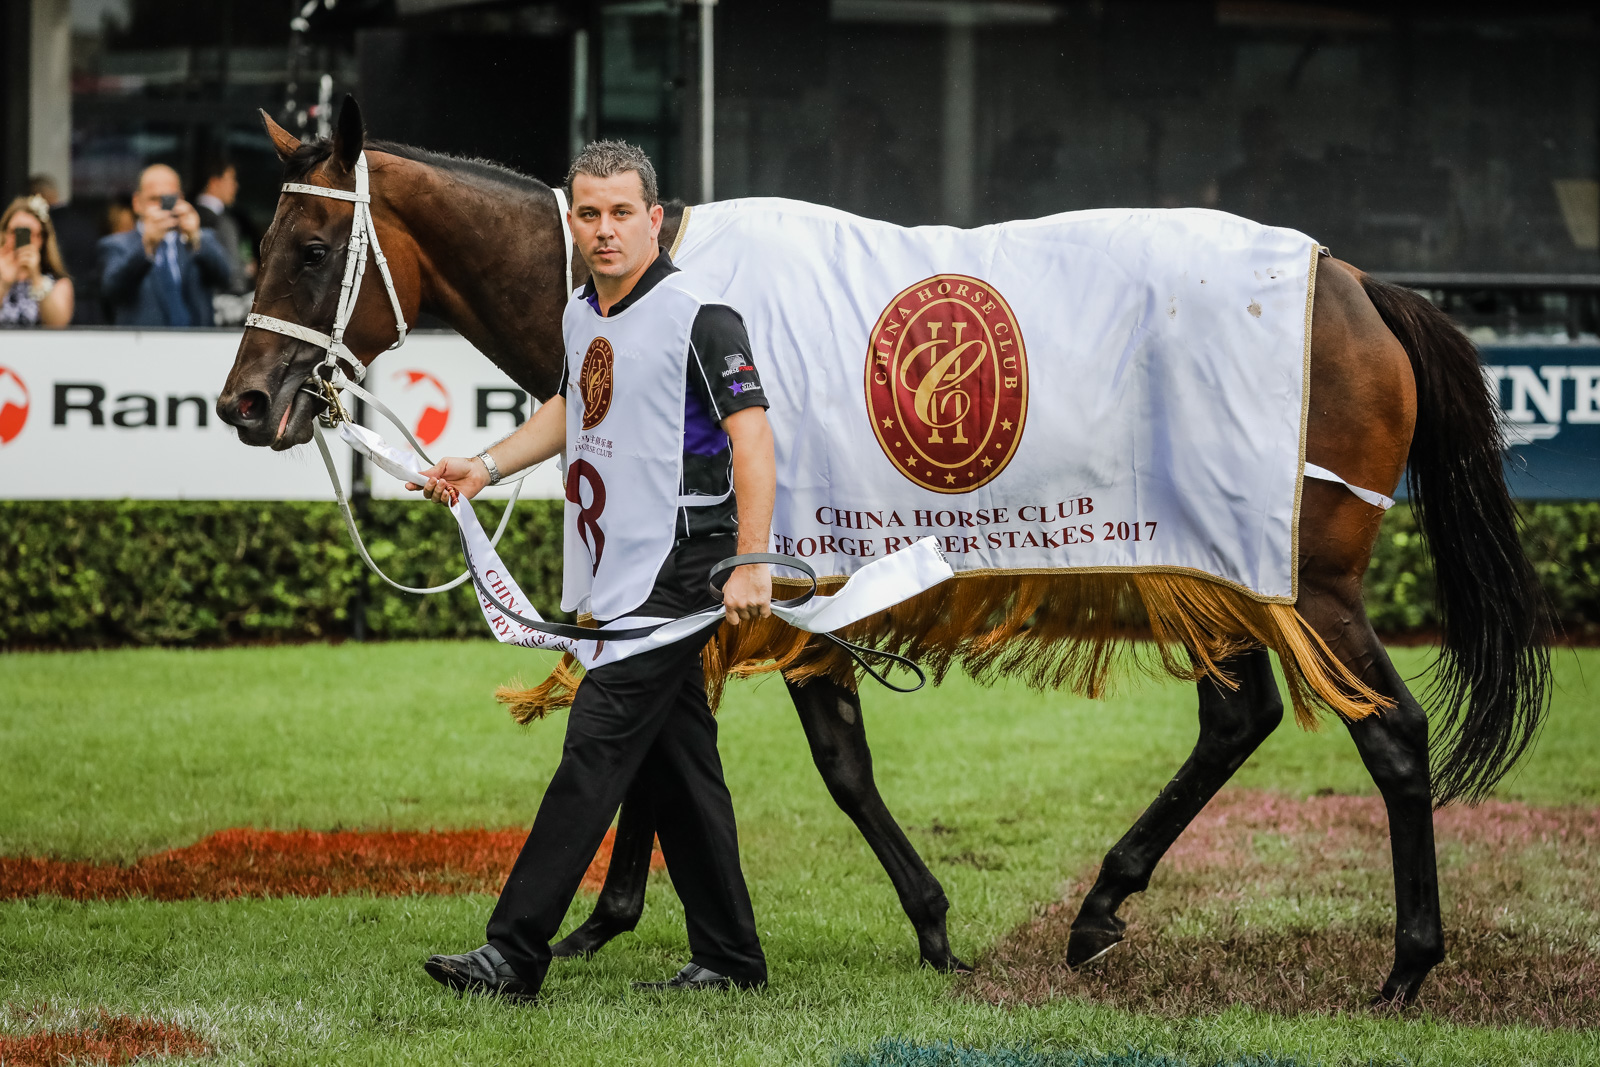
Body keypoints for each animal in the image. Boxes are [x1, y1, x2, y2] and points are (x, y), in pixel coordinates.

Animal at [219, 95, 1542, 1004]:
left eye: (308, 251)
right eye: (255, 246)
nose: (243, 404)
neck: (641, 282)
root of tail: (1354, 281)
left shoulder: (772, 578)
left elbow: (817, 760)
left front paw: (925, 920)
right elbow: (682, 740)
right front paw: (621, 916)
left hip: (1307, 582)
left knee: (1392, 733)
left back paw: (1406, 965)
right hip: (1213, 575)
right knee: (1240, 719)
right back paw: (1101, 905)